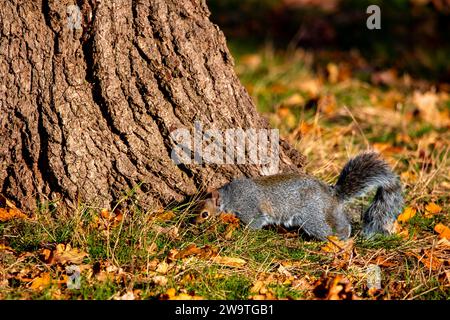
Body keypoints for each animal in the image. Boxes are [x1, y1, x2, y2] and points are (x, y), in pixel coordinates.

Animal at [197, 152, 404, 240]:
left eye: (204, 214)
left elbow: (255, 222)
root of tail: (331, 193)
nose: (195, 224)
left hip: (311, 217)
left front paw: (243, 231)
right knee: (343, 224)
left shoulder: (249, 207)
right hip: (329, 212)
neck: (229, 196)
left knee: (325, 230)